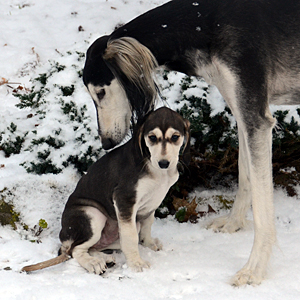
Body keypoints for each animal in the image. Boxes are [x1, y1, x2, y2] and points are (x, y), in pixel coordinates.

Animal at [21, 107, 190, 274]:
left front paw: (148, 243)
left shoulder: (151, 203)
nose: (163, 163)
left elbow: (147, 224)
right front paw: (136, 263)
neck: (156, 169)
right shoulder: (124, 199)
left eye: (175, 137)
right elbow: (130, 238)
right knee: (75, 250)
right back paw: (93, 263)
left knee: (92, 247)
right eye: (152, 138)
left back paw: (104, 258)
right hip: (93, 215)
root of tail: (64, 237)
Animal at [81, 0, 300, 286]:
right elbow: (246, 176)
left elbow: (263, 208)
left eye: (100, 92)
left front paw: (254, 270)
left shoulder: (257, 119)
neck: (205, 22)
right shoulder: (241, 109)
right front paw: (233, 224)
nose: (106, 142)